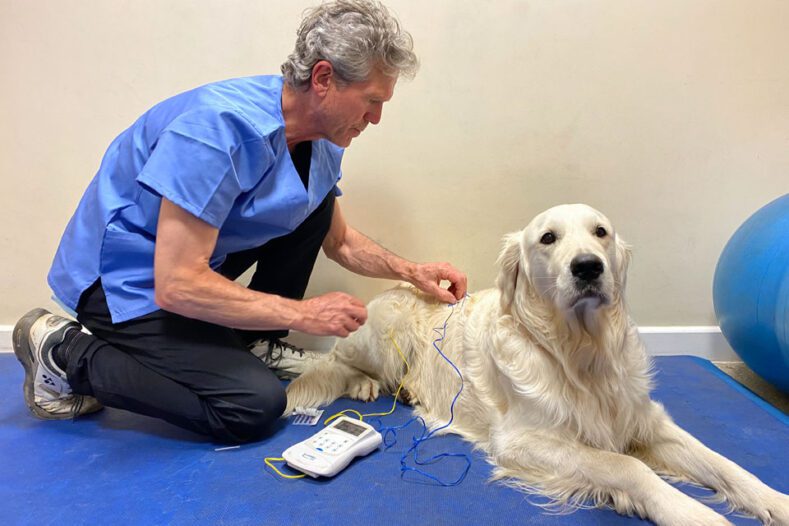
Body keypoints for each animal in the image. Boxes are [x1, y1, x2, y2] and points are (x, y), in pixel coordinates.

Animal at [284, 204, 788, 524]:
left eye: (600, 232)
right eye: (548, 238)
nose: (588, 267)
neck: (581, 352)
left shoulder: (646, 421)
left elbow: (723, 464)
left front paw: (775, 501)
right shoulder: (524, 440)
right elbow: (626, 466)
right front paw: (693, 513)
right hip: (380, 335)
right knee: (336, 361)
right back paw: (365, 385)